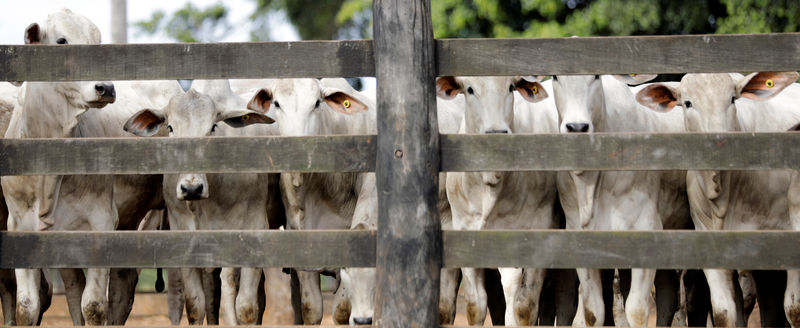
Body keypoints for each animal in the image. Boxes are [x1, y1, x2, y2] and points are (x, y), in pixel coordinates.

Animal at [124, 82, 276, 326]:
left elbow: (246, 308)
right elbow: (196, 306)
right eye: (170, 127)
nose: (192, 189)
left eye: (213, 127)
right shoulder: (185, 239)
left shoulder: (255, 229)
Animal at [552, 73, 692, 326]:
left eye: (596, 76)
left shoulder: (647, 229)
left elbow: (636, 310)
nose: (577, 127)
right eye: (555, 76)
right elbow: (593, 311)